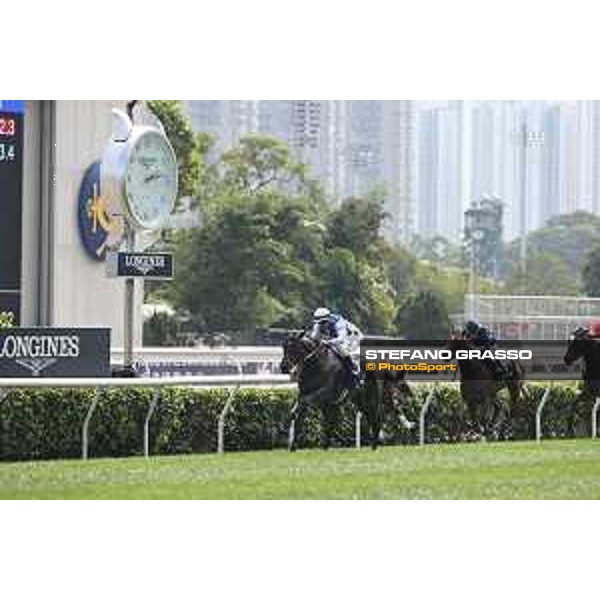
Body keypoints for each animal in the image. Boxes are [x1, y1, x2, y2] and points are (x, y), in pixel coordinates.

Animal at [282, 332, 412, 450]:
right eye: (284, 348)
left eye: (293, 348)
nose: (283, 367)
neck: (317, 365)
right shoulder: (311, 396)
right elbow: (300, 415)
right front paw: (293, 445)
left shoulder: (326, 393)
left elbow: (307, 405)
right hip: (360, 399)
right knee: (374, 417)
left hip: (374, 396)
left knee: (377, 418)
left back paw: (375, 445)